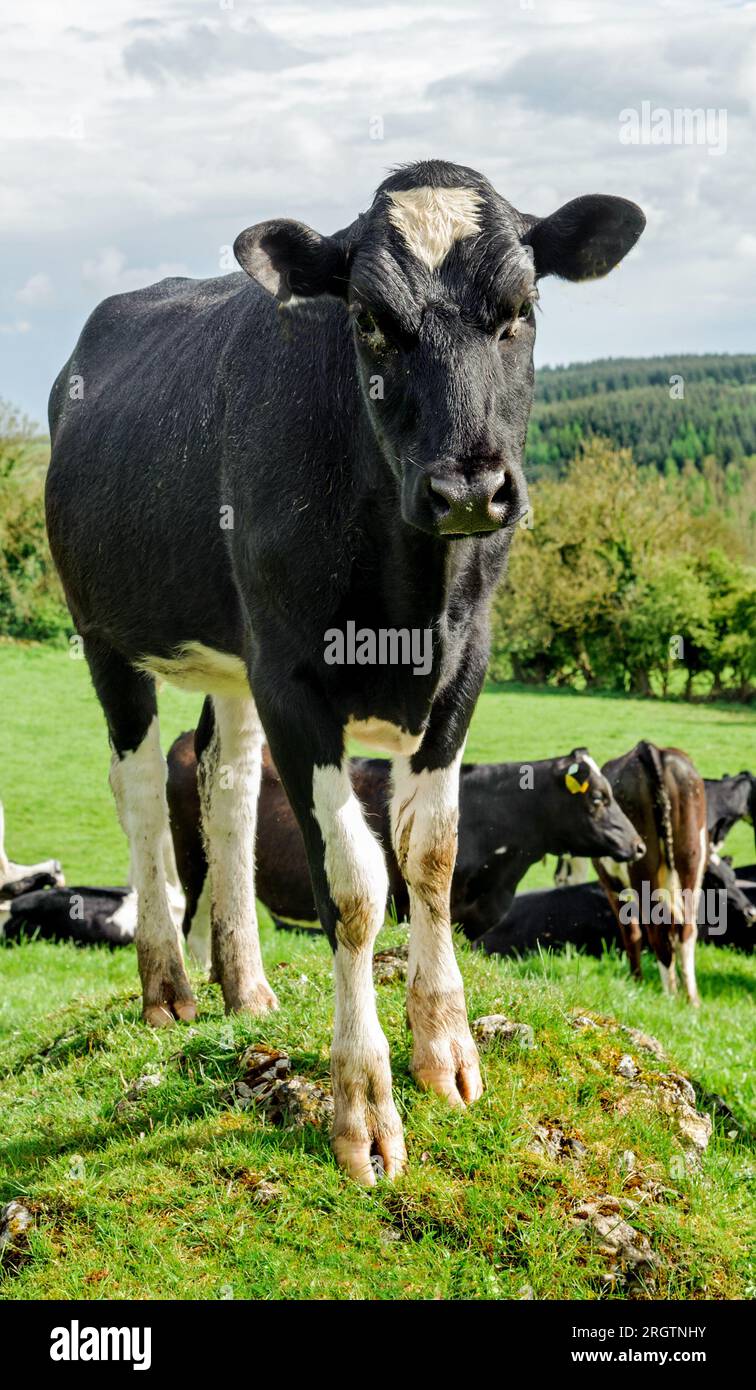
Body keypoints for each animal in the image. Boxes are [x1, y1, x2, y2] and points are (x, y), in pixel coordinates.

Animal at [597, 745, 708, 1006]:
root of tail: (650, 749)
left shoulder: (612, 886)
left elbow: (631, 933)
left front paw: (636, 981)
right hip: (692, 856)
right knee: (686, 928)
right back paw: (692, 1000)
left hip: (641, 868)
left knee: (657, 931)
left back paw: (671, 996)